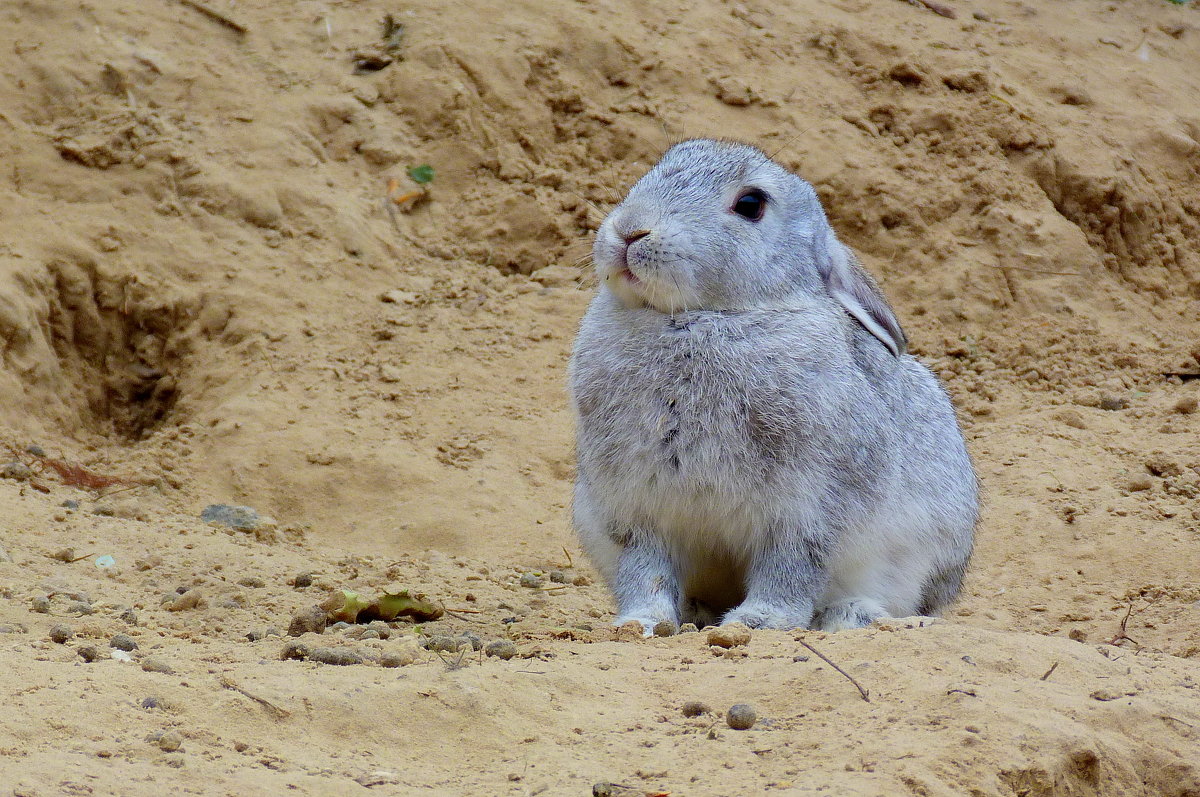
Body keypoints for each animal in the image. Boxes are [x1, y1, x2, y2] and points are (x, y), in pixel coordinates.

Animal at [566, 138, 979, 633]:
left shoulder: (807, 509)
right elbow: (645, 570)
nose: (630, 230)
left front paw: (757, 622)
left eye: (751, 204)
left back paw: (852, 616)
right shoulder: (637, 510)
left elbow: (790, 568)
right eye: (660, 166)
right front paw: (641, 624)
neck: (701, 316)